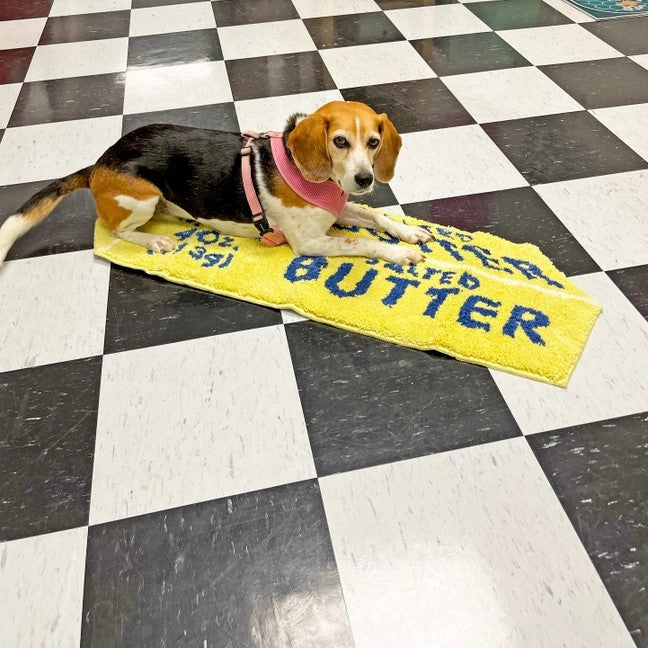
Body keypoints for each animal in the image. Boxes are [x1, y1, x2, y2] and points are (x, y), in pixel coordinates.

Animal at [1, 100, 436, 266]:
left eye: (374, 142)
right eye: (340, 141)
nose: (364, 179)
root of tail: (99, 162)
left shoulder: (337, 209)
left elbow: (373, 217)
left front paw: (409, 234)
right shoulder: (311, 242)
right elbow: (359, 242)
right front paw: (399, 254)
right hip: (141, 198)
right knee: (117, 231)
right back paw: (154, 240)